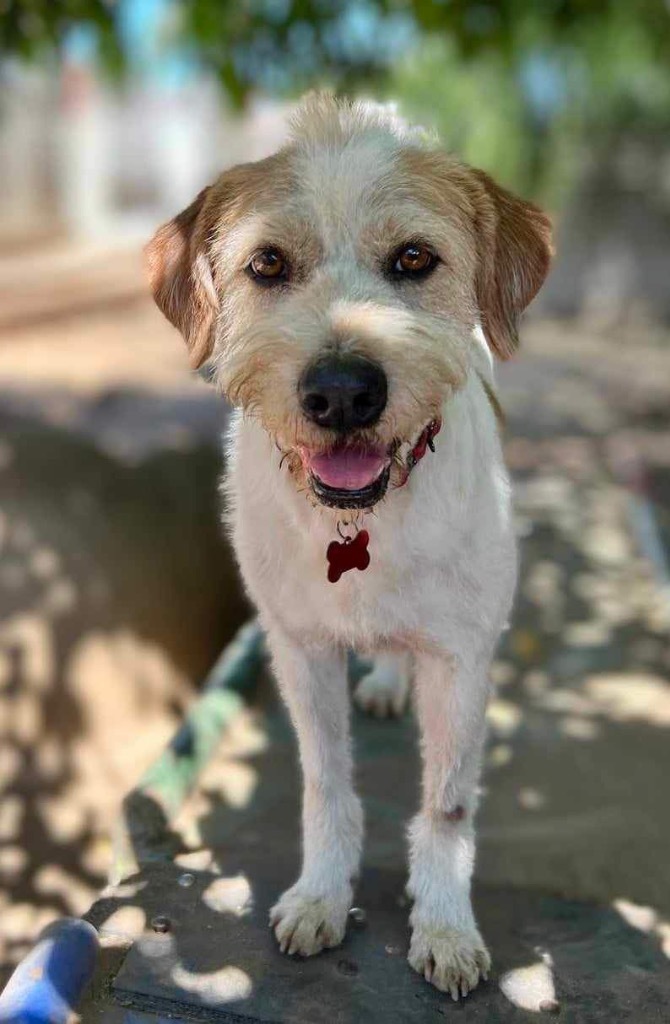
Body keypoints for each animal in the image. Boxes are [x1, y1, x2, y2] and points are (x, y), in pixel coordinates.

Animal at [148, 94, 557, 999]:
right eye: (267, 264)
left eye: (414, 258)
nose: (341, 393)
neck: (359, 523)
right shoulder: (299, 648)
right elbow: (324, 784)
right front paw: (321, 895)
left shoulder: (461, 658)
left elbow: (447, 806)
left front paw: (444, 923)